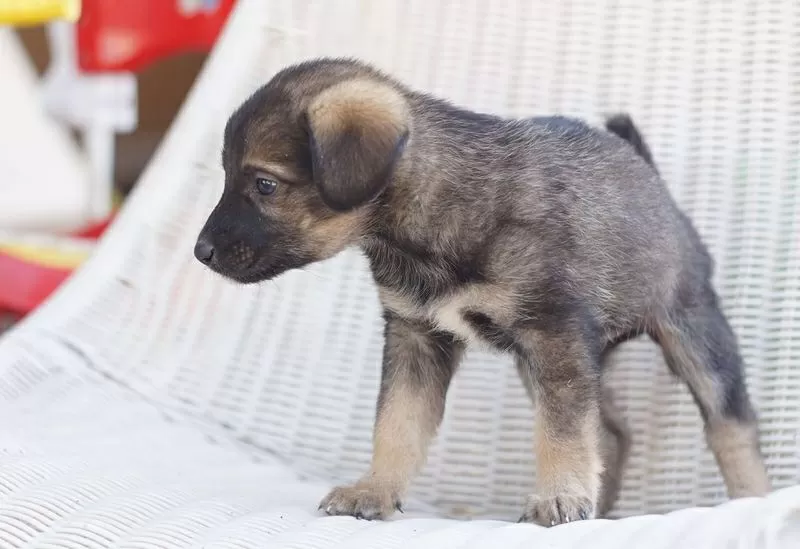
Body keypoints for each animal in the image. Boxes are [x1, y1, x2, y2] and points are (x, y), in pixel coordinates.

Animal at [194, 57, 768, 524]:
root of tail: (654, 182)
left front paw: (558, 496)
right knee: (610, 433)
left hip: (693, 334)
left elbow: (560, 432)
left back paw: (752, 496)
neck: (431, 216)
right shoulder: (416, 337)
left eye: (265, 185)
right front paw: (376, 489)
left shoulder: (554, 336)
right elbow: (397, 423)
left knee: (731, 425)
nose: (201, 253)